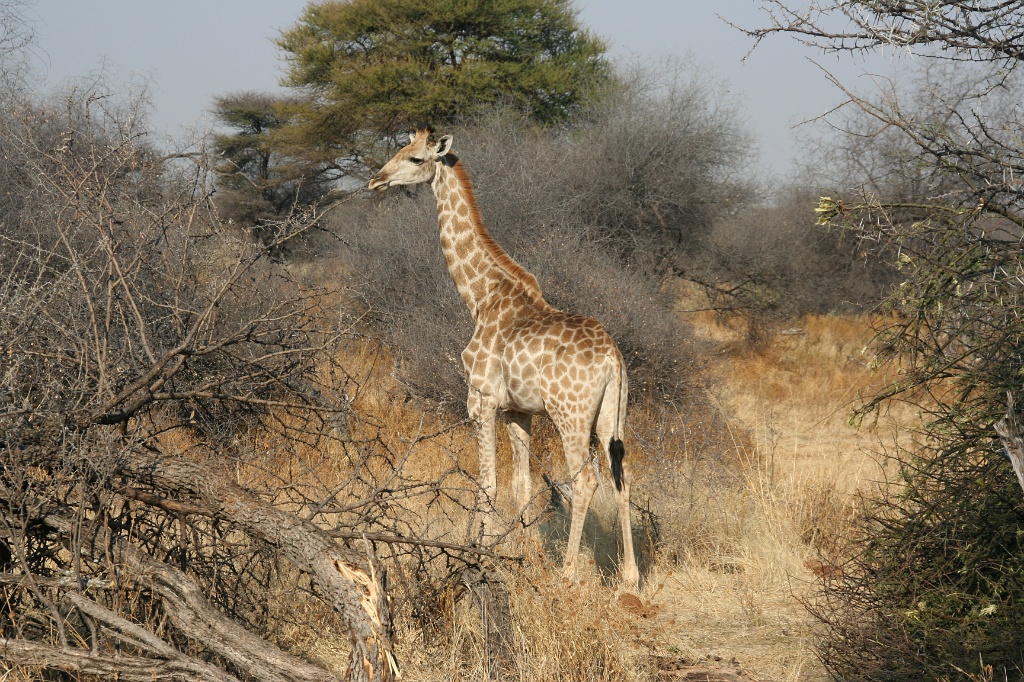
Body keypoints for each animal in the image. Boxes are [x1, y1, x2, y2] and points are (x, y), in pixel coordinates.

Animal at [368, 130, 638, 585]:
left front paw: (478, 553)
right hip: (610, 417)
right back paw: (630, 576)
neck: (480, 296)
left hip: (570, 415)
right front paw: (525, 554)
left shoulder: (480, 400)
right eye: (397, 150)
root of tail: (613, 359)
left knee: (585, 481)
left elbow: (488, 483)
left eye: (416, 159)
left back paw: (568, 574)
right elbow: (521, 484)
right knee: (623, 479)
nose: (376, 180)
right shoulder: (518, 411)